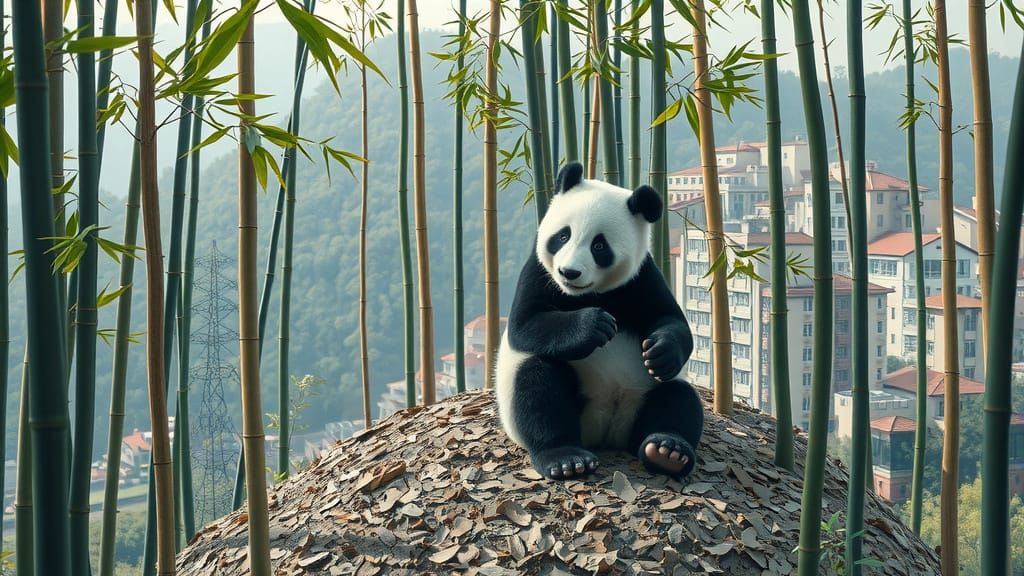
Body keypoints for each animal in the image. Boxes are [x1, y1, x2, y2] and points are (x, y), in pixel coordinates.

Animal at [495, 161, 704, 481]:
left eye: (599, 246)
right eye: (563, 236)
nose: (569, 272)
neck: (589, 293)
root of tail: (607, 430)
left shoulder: (642, 276)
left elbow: (670, 318)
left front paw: (660, 352)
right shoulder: (538, 271)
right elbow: (525, 325)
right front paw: (595, 326)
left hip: (644, 394)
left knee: (678, 398)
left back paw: (667, 450)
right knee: (538, 386)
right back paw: (565, 458)